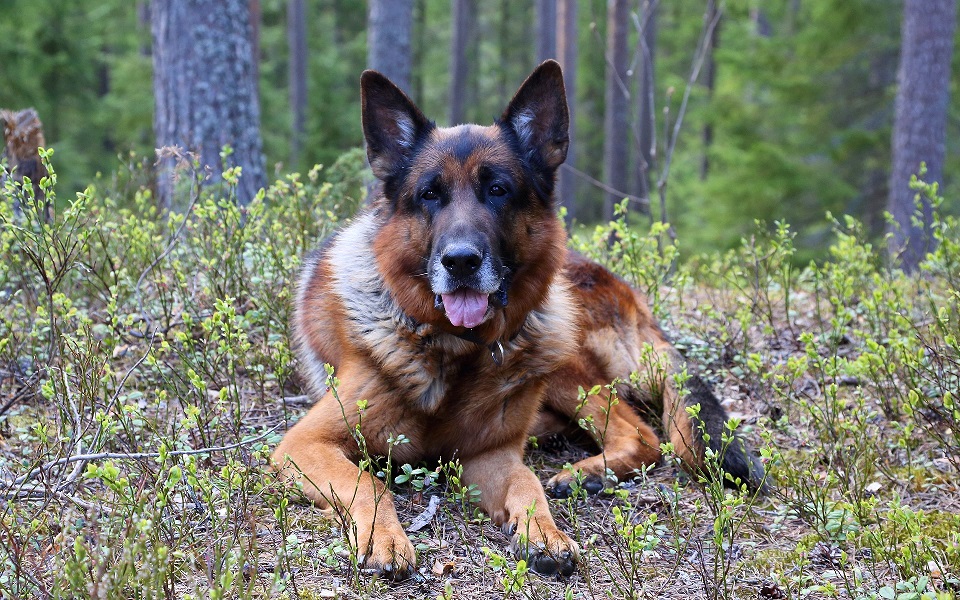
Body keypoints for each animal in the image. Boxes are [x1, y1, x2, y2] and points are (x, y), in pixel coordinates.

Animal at [272, 59, 764, 576]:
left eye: (498, 190)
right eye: (429, 195)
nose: (461, 261)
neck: (456, 349)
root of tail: (628, 292)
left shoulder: (490, 454)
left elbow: (526, 482)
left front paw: (544, 532)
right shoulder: (304, 445)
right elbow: (370, 482)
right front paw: (384, 537)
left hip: (563, 353)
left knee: (642, 434)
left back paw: (584, 473)